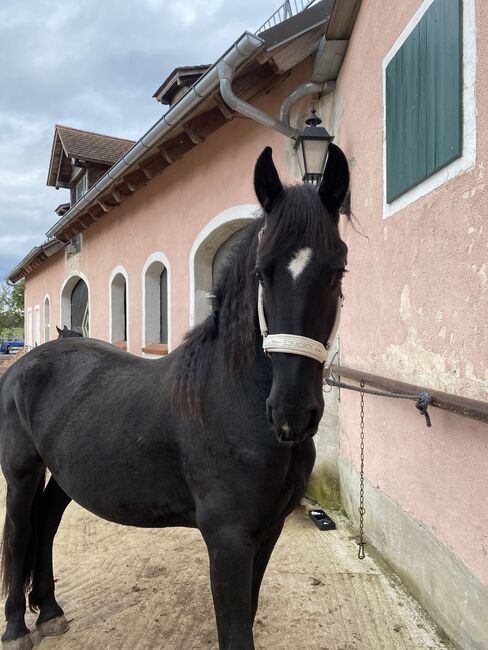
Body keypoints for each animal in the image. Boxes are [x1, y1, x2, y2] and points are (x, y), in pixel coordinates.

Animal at [0, 144, 348, 644]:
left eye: (337, 271)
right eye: (262, 273)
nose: (292, 413)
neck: (233, 404)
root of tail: (25, 363)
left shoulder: (268, 532)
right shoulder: (229, 542)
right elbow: (235, 632)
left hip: (64, 475)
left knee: (45, 524)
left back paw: (48, 610)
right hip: (22, 471)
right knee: (18, 534)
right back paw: (15, 627)